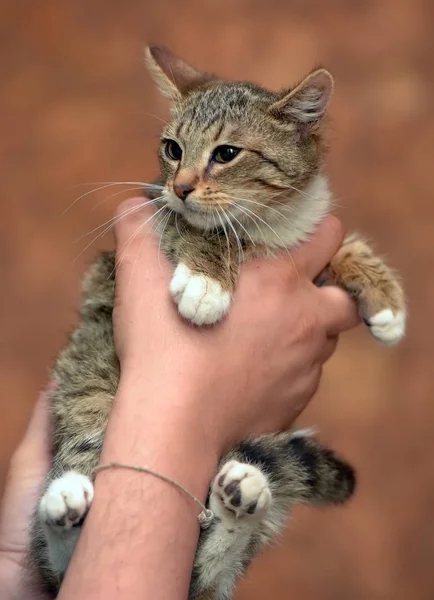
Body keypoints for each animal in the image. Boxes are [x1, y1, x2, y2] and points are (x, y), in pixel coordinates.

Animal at [28, 47, 406, 600]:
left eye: (227, 153)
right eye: (172, 148)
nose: (182, 186)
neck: (269, 227)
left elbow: (343, 246)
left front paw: (385, 300)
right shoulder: (142, 226)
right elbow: (193, 227)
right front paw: (207, 282)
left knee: (212, 566)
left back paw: (242, 495)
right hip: (89, 387)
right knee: (58, 554)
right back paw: (65, 500)